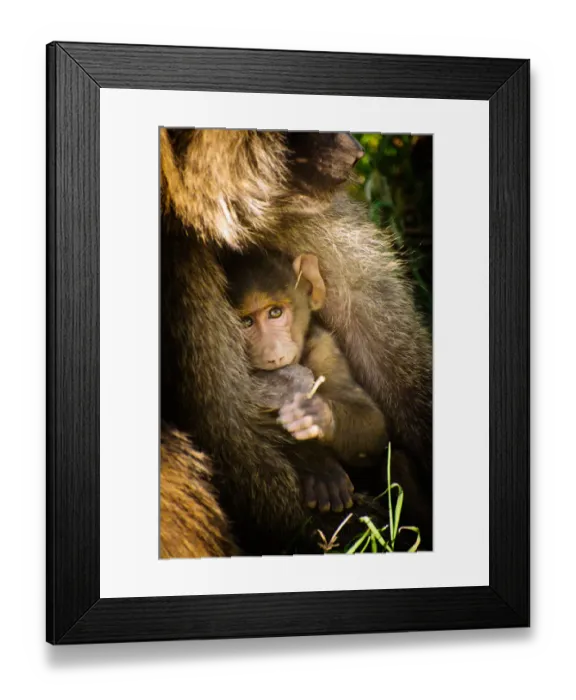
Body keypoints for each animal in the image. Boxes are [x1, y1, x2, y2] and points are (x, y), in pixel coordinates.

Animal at [221, 248, 388, 515]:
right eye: (246, 322)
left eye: (275, 313)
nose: (273, 352)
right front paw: (318, 465)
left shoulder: (324, 348)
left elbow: (373, 426)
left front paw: (315, 414)